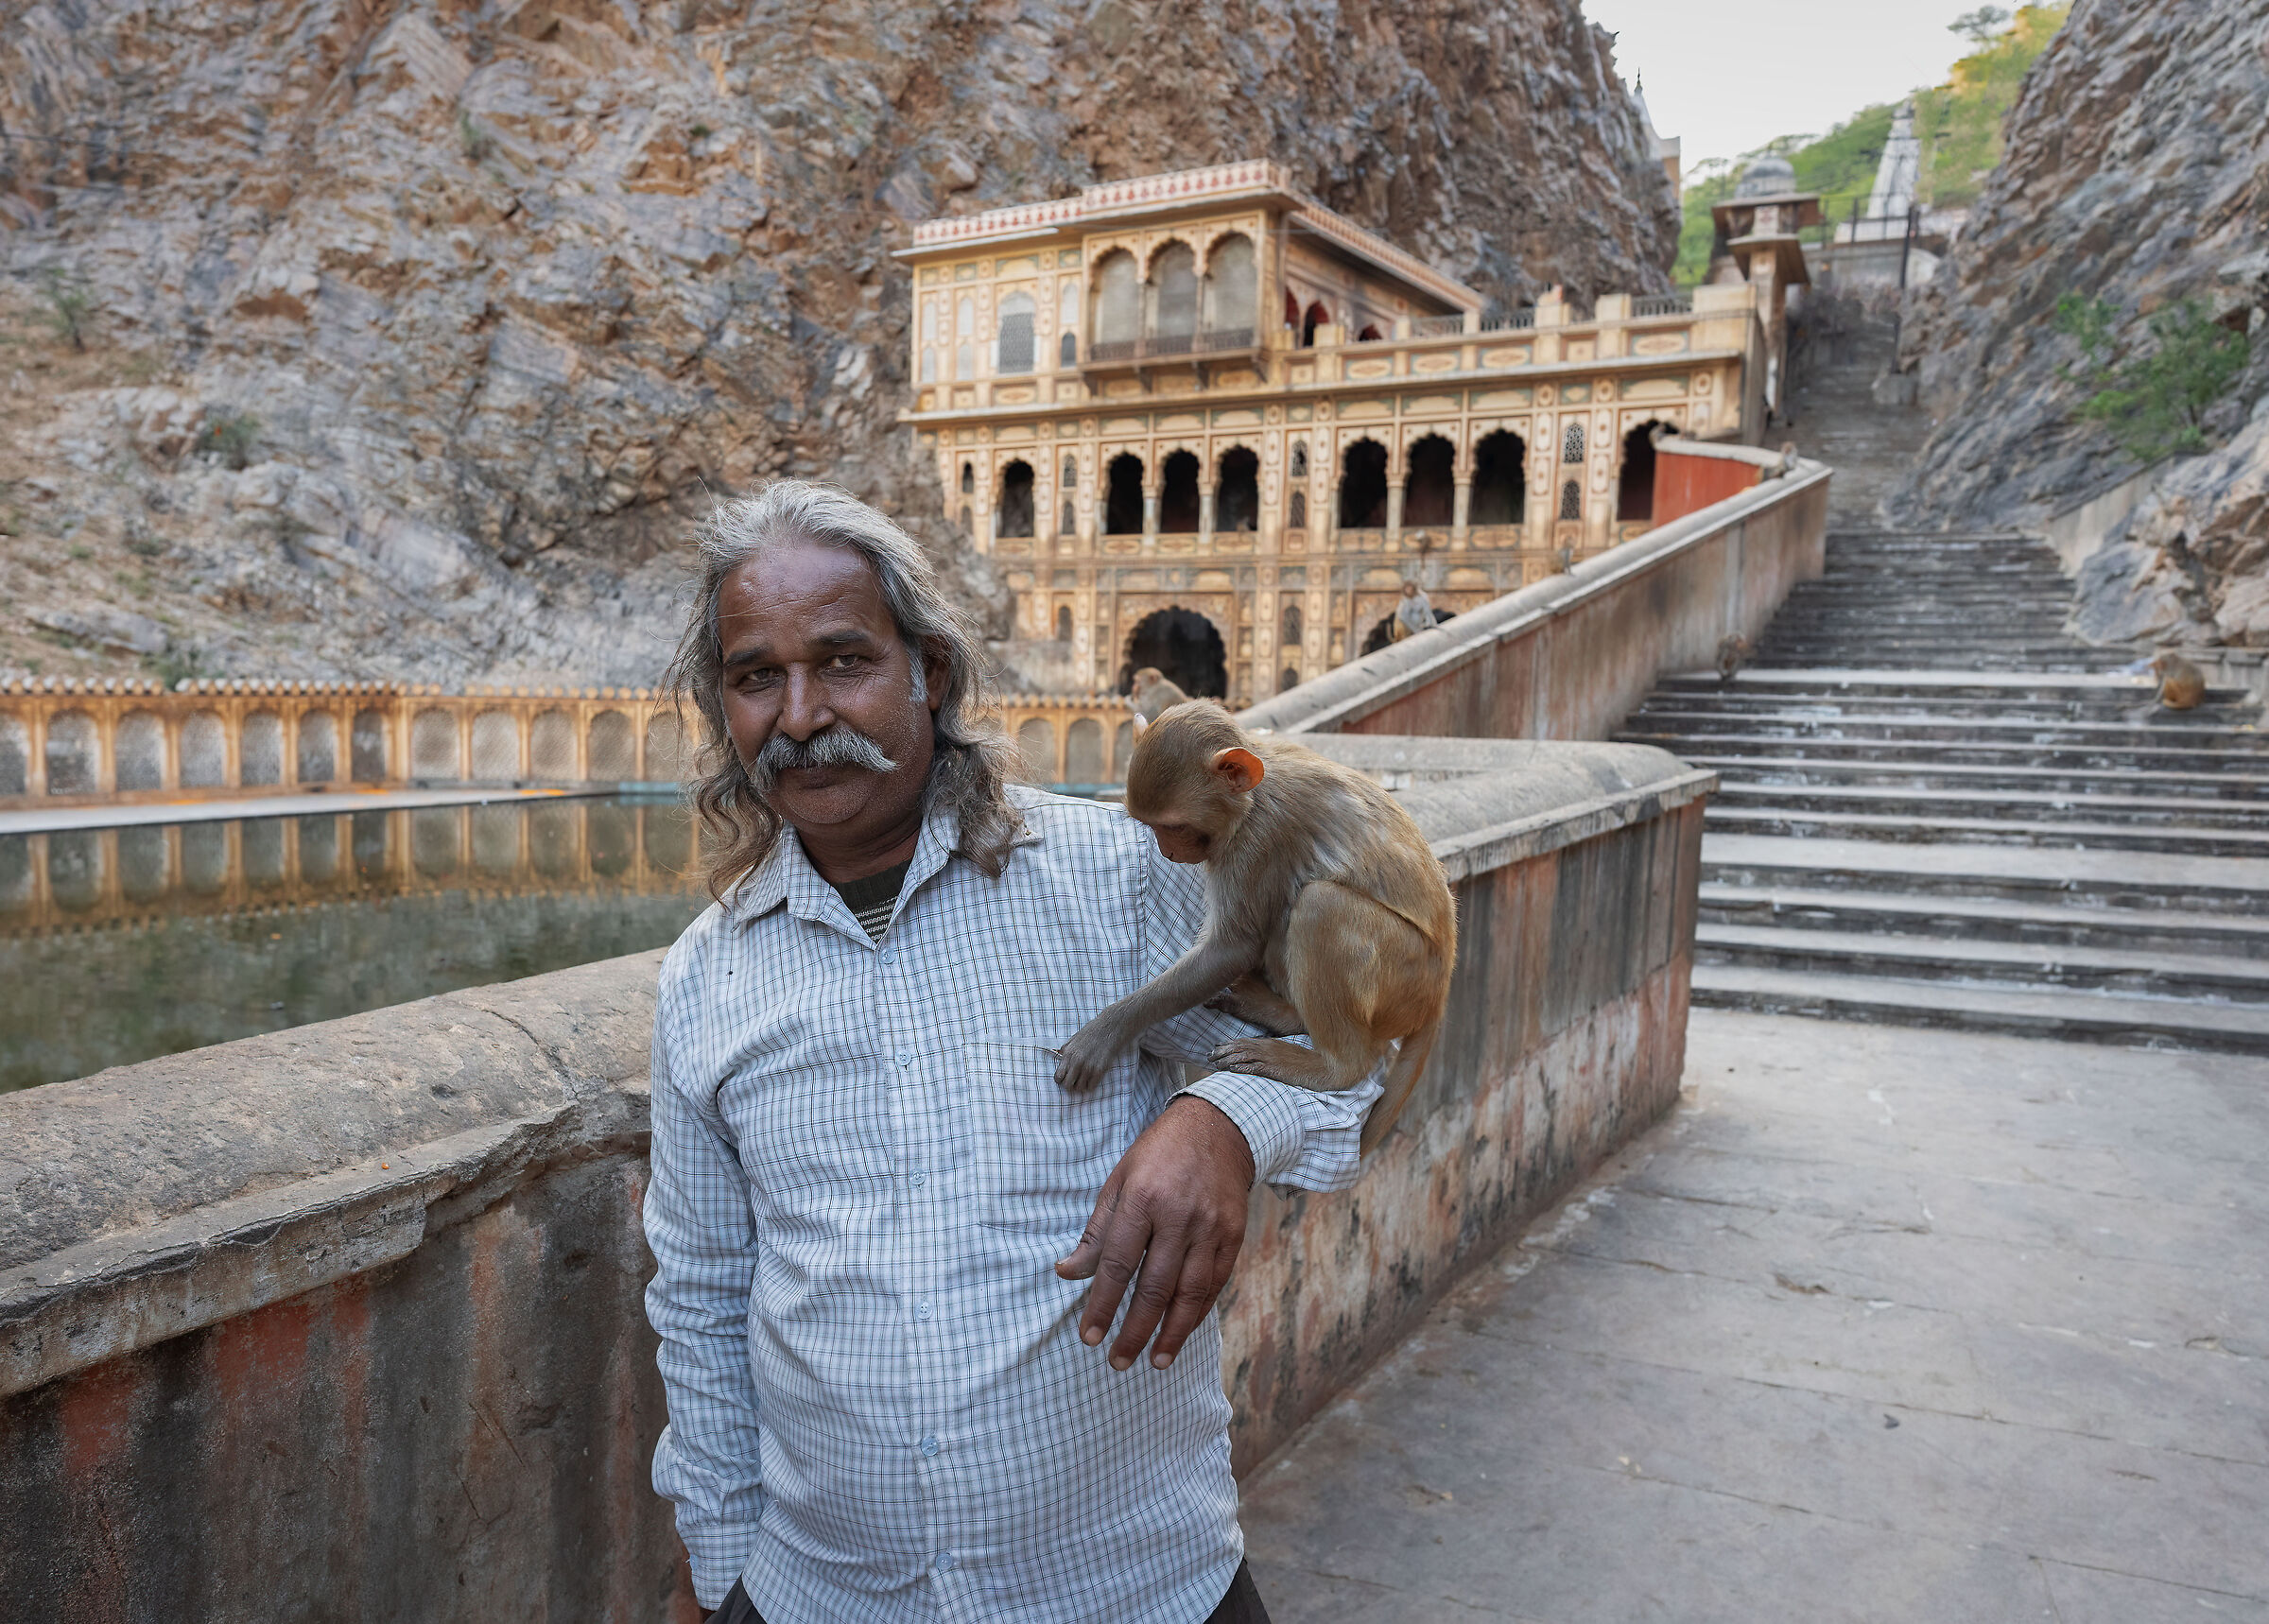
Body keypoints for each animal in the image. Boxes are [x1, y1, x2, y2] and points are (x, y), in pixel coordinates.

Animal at [1051, 701, 1457, 1159]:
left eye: (1174, 826)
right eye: (1151, 826)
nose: (1167, 852)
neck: (1251, 797)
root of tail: (1439, 991)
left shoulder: (1258, 839)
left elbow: (1233, 947)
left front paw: (1106, 1032)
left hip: (1404, 975)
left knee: (1320, 904)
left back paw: (1330, 1066)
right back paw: (1283, 1014)